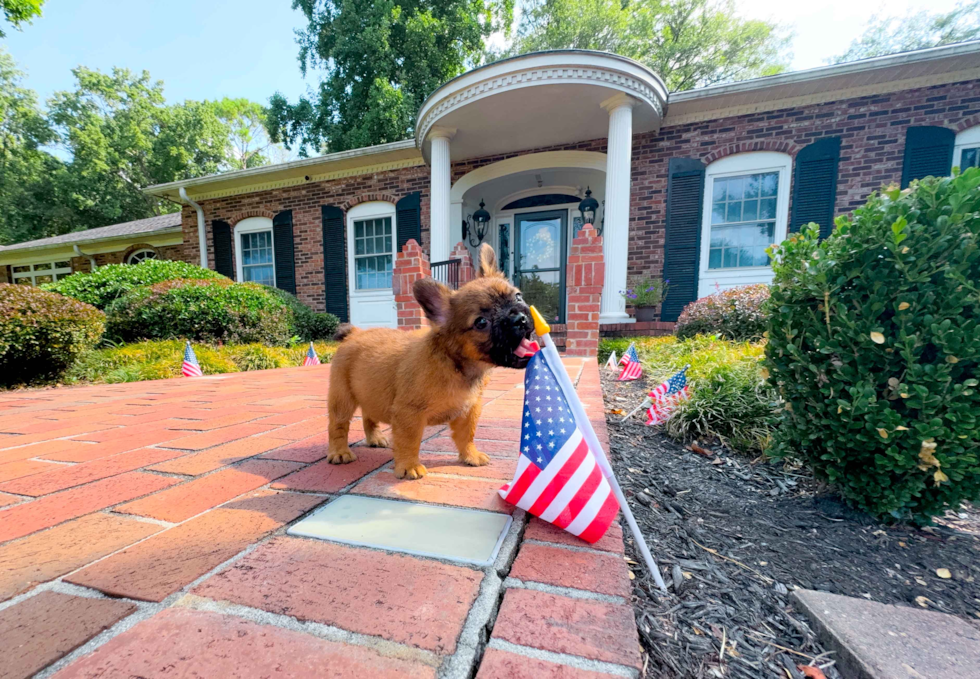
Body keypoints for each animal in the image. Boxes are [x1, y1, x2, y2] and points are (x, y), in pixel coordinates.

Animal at [326, 243, 532, 478]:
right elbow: (409, 441)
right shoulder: (409, 414)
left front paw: (470, 455)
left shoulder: (469, 410)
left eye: (518, 297)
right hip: (342, 399)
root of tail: (354, 333)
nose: (520, 319)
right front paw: (409, 466)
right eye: (481, 322)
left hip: (369, 392)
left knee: (369, 415)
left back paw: (375, 438)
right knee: (338, 425)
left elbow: (467, 435)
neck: (457, 364)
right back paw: (340, 452)